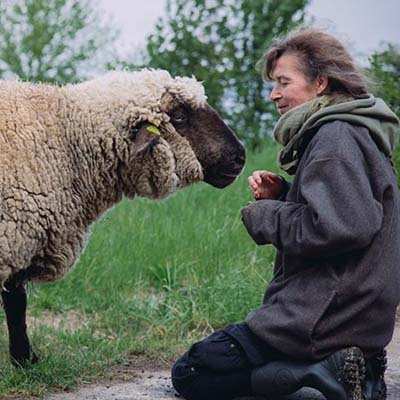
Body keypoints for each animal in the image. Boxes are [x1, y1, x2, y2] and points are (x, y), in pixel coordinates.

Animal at [0, 69, 245, 366]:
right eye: (179, 116)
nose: (240, 157)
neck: (65, 139)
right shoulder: (12, 238)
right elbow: (16, 303)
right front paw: (25, 359)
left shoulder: (18, 240)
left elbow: (16, 303)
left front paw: (24, 360)